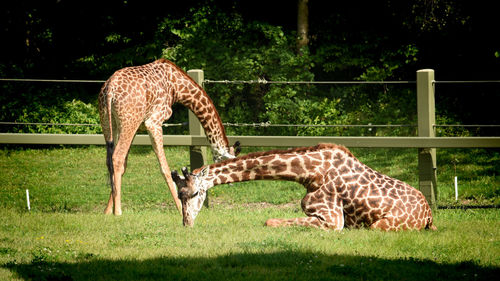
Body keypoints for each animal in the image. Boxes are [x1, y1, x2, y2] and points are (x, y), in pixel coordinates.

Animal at [99, 57, 240, 214]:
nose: (231, 182)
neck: (177, 87)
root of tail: (110, 89)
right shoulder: (153, 122)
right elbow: (165, 168)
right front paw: (180, 208)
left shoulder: (139, 126)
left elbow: (125, 165)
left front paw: (107, 211)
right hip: (128, 121)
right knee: (117, 157)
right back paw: (118, 212)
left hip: (110, 122)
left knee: (110, 159)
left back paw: (110, 211)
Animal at [173, 142, 438, 230]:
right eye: (179, 194)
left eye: (194, 193)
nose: (186, 224)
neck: (310, 172)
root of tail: (429, 215)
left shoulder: (332, 220)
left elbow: (269, 220)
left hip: (381, 225)